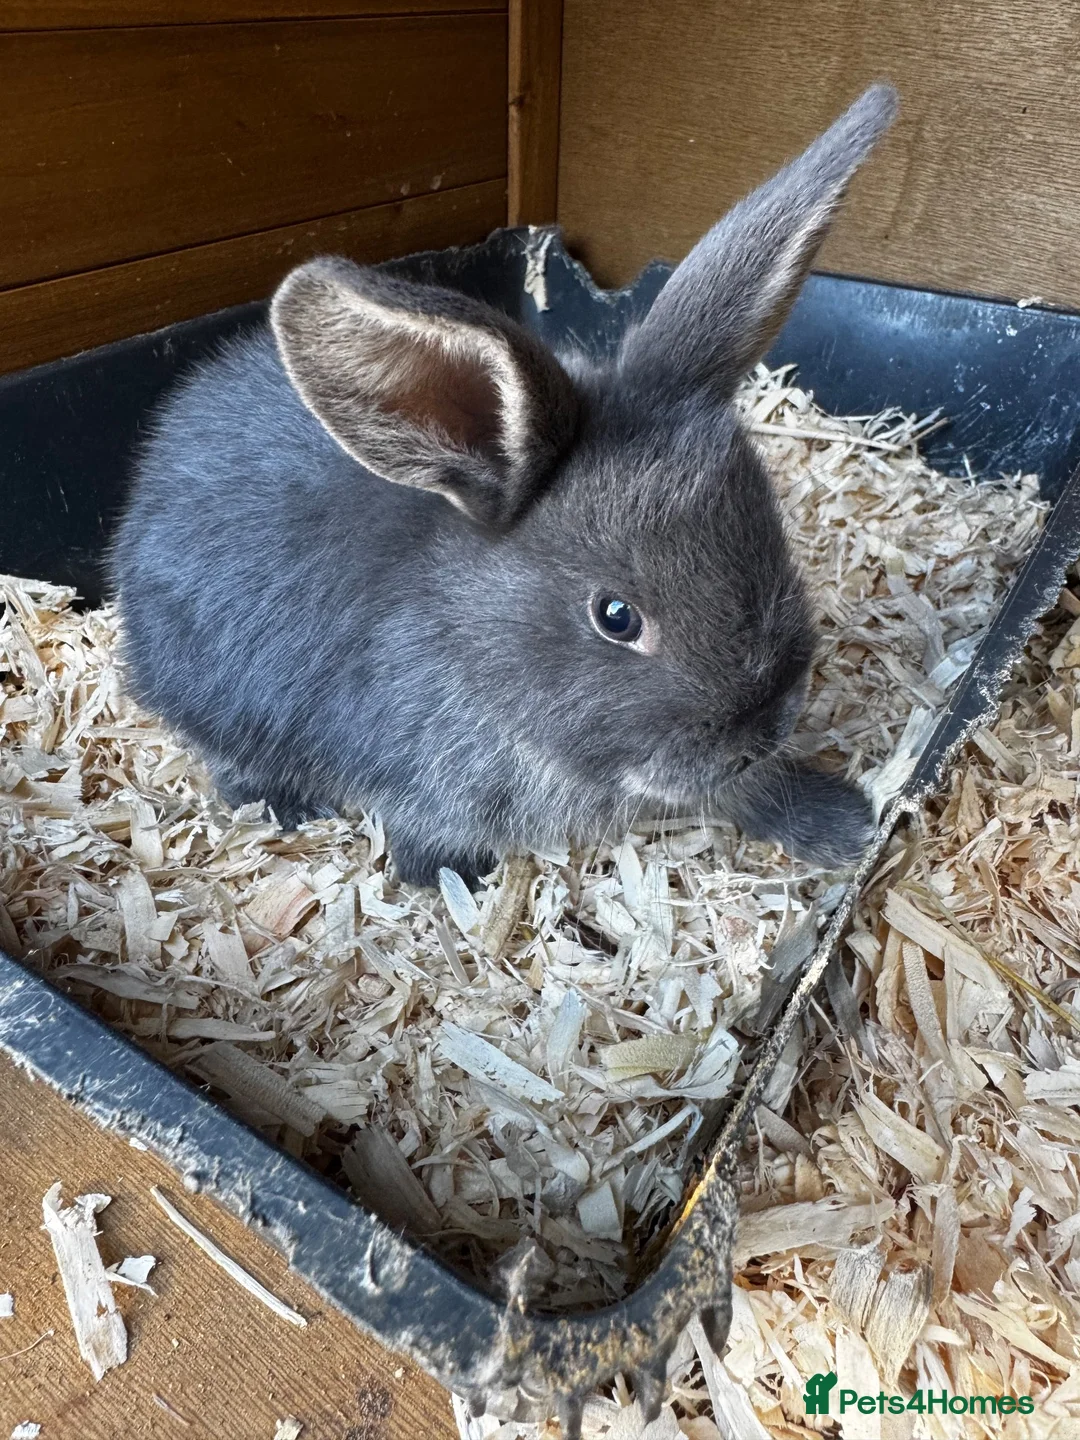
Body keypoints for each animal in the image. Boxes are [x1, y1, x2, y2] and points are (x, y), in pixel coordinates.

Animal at [110, 84, 897, 888]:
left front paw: (841, 825)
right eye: (617, 617)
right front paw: (446, 877)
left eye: (770, 533)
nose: (761, 731)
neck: (469, 643)